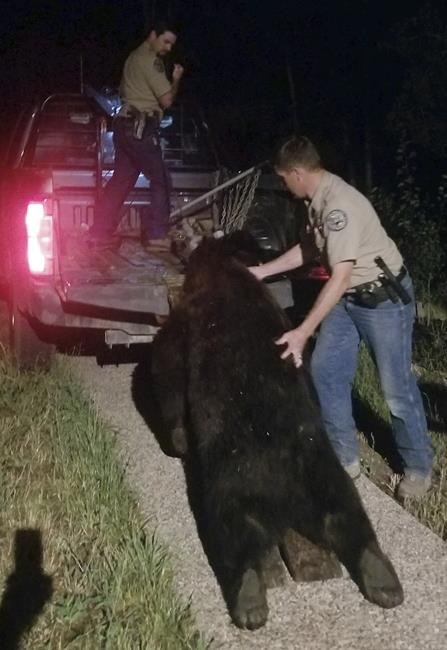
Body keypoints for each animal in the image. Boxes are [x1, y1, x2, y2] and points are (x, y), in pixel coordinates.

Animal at [151, 231, 404, 630]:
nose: (179, 240)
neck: (222, 269)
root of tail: (285, 501)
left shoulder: (187, 319)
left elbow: (167, 365)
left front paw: (176, 438)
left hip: (230, 482)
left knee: (234, 536)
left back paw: (249, 600)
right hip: (321, 469)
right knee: (349, 513)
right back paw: (383, 579)